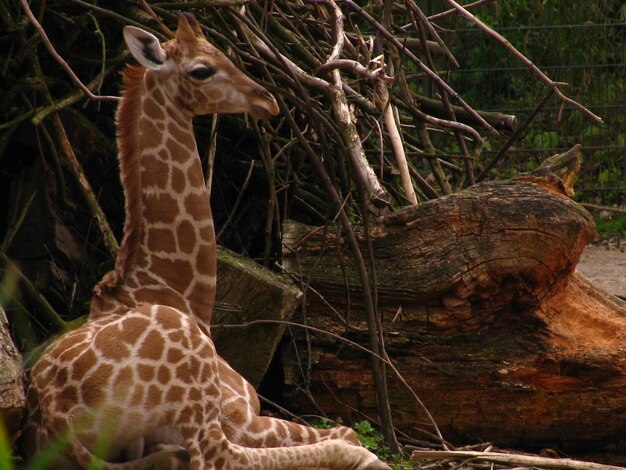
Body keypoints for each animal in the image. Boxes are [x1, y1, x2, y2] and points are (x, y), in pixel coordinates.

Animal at [20, 12, 386, 468]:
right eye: (201, 70)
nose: (267, 99)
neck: (178, 291)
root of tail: (55, 416)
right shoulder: (238, 413)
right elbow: (342, 429)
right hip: (198, 403)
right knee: (219, 456)